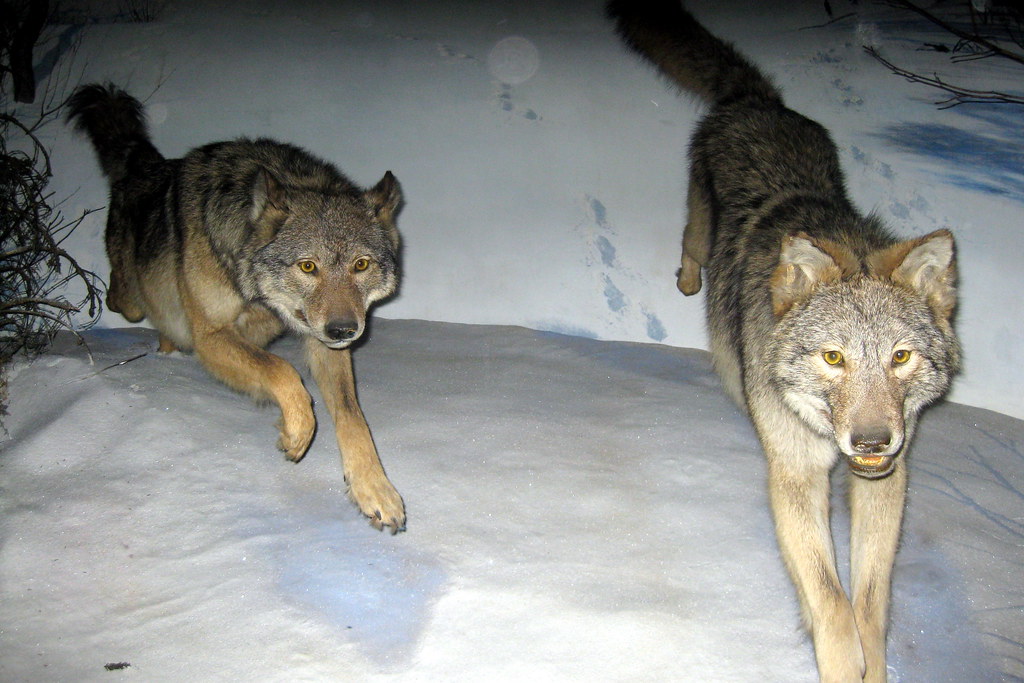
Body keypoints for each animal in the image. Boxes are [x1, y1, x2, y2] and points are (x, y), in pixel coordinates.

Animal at [67, 84, 406, 532]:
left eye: (361, 265)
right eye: (308, 266)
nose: (344, 331)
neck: (255, 292)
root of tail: (149, 163)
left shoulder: (321, 345)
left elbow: (353, 418)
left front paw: (375, 489)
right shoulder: (210, 337)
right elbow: (281, 372)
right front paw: (296, 433)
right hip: (136, 298)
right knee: (125, 301)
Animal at [608, 2, 960, 680]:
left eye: (900, 357)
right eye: (833, 357)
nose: (871, 440)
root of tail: (760, 101)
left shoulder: (887, 478)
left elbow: (870, 601)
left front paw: (874, 663)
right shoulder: (795, 476)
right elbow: (830, 601)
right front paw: (840, 662)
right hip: (700, 225)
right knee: (691, 244)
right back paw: (688, 281)